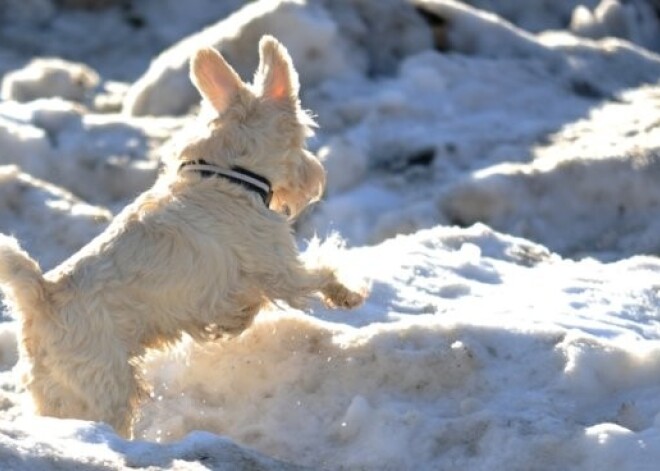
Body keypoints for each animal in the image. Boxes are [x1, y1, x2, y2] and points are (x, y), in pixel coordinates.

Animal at [0, 36, 364, 438]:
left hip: (57, 385)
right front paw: (351, 293)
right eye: (303, 140)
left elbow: (246, 306)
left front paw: (234, 323)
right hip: (103, 381)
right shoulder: (279, 266)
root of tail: (41, 295)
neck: (230, 174)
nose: (316, 176)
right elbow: (321, 273)